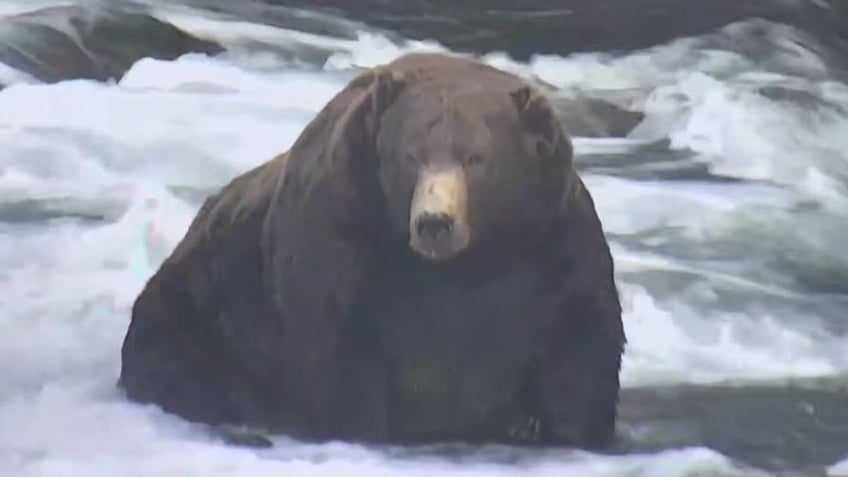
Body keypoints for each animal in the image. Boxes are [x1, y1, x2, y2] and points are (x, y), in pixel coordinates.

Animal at [117, 52, 624, 450]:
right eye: (411, 155)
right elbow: (342, 359)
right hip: (200, 315)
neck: (464, 266)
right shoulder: (344, 248)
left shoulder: (547, 254)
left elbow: (581, 352)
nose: (434, 222)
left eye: (475, 156)